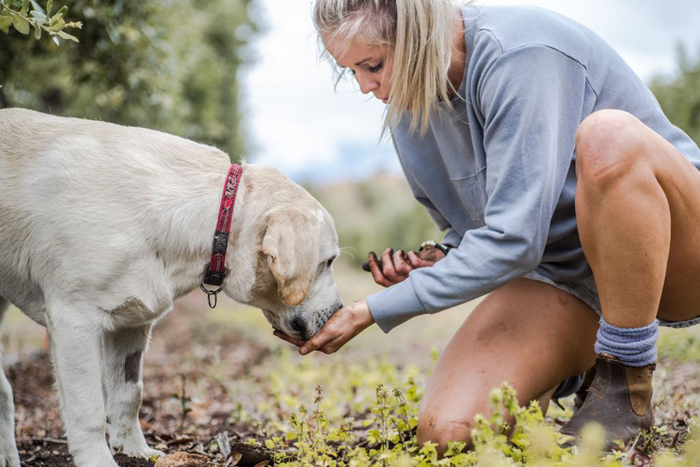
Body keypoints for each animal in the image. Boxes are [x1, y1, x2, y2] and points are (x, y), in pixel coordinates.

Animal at [0, 109, 342, 467]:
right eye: (329, 261)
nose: (340, 310)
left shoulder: (132, 324)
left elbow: (129, 393)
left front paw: (135, 451)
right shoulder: (73, 320)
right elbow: (88, 409)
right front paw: (99, 460)